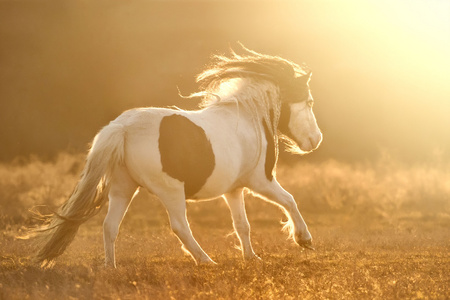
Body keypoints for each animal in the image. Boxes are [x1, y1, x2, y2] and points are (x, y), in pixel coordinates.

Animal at [28, 46, 322, 268]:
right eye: (309, 101)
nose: (316, 140)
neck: (248, 118)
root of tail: (123, 127)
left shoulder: (234, 189)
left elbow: (242, 225)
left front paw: (251, 257)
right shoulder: (260, 181)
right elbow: (290, 201)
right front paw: (304, 239)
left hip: (123, 188)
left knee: (110, 226)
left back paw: (111, 267)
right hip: (171, 191)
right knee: (180, 226)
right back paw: (206, 260)